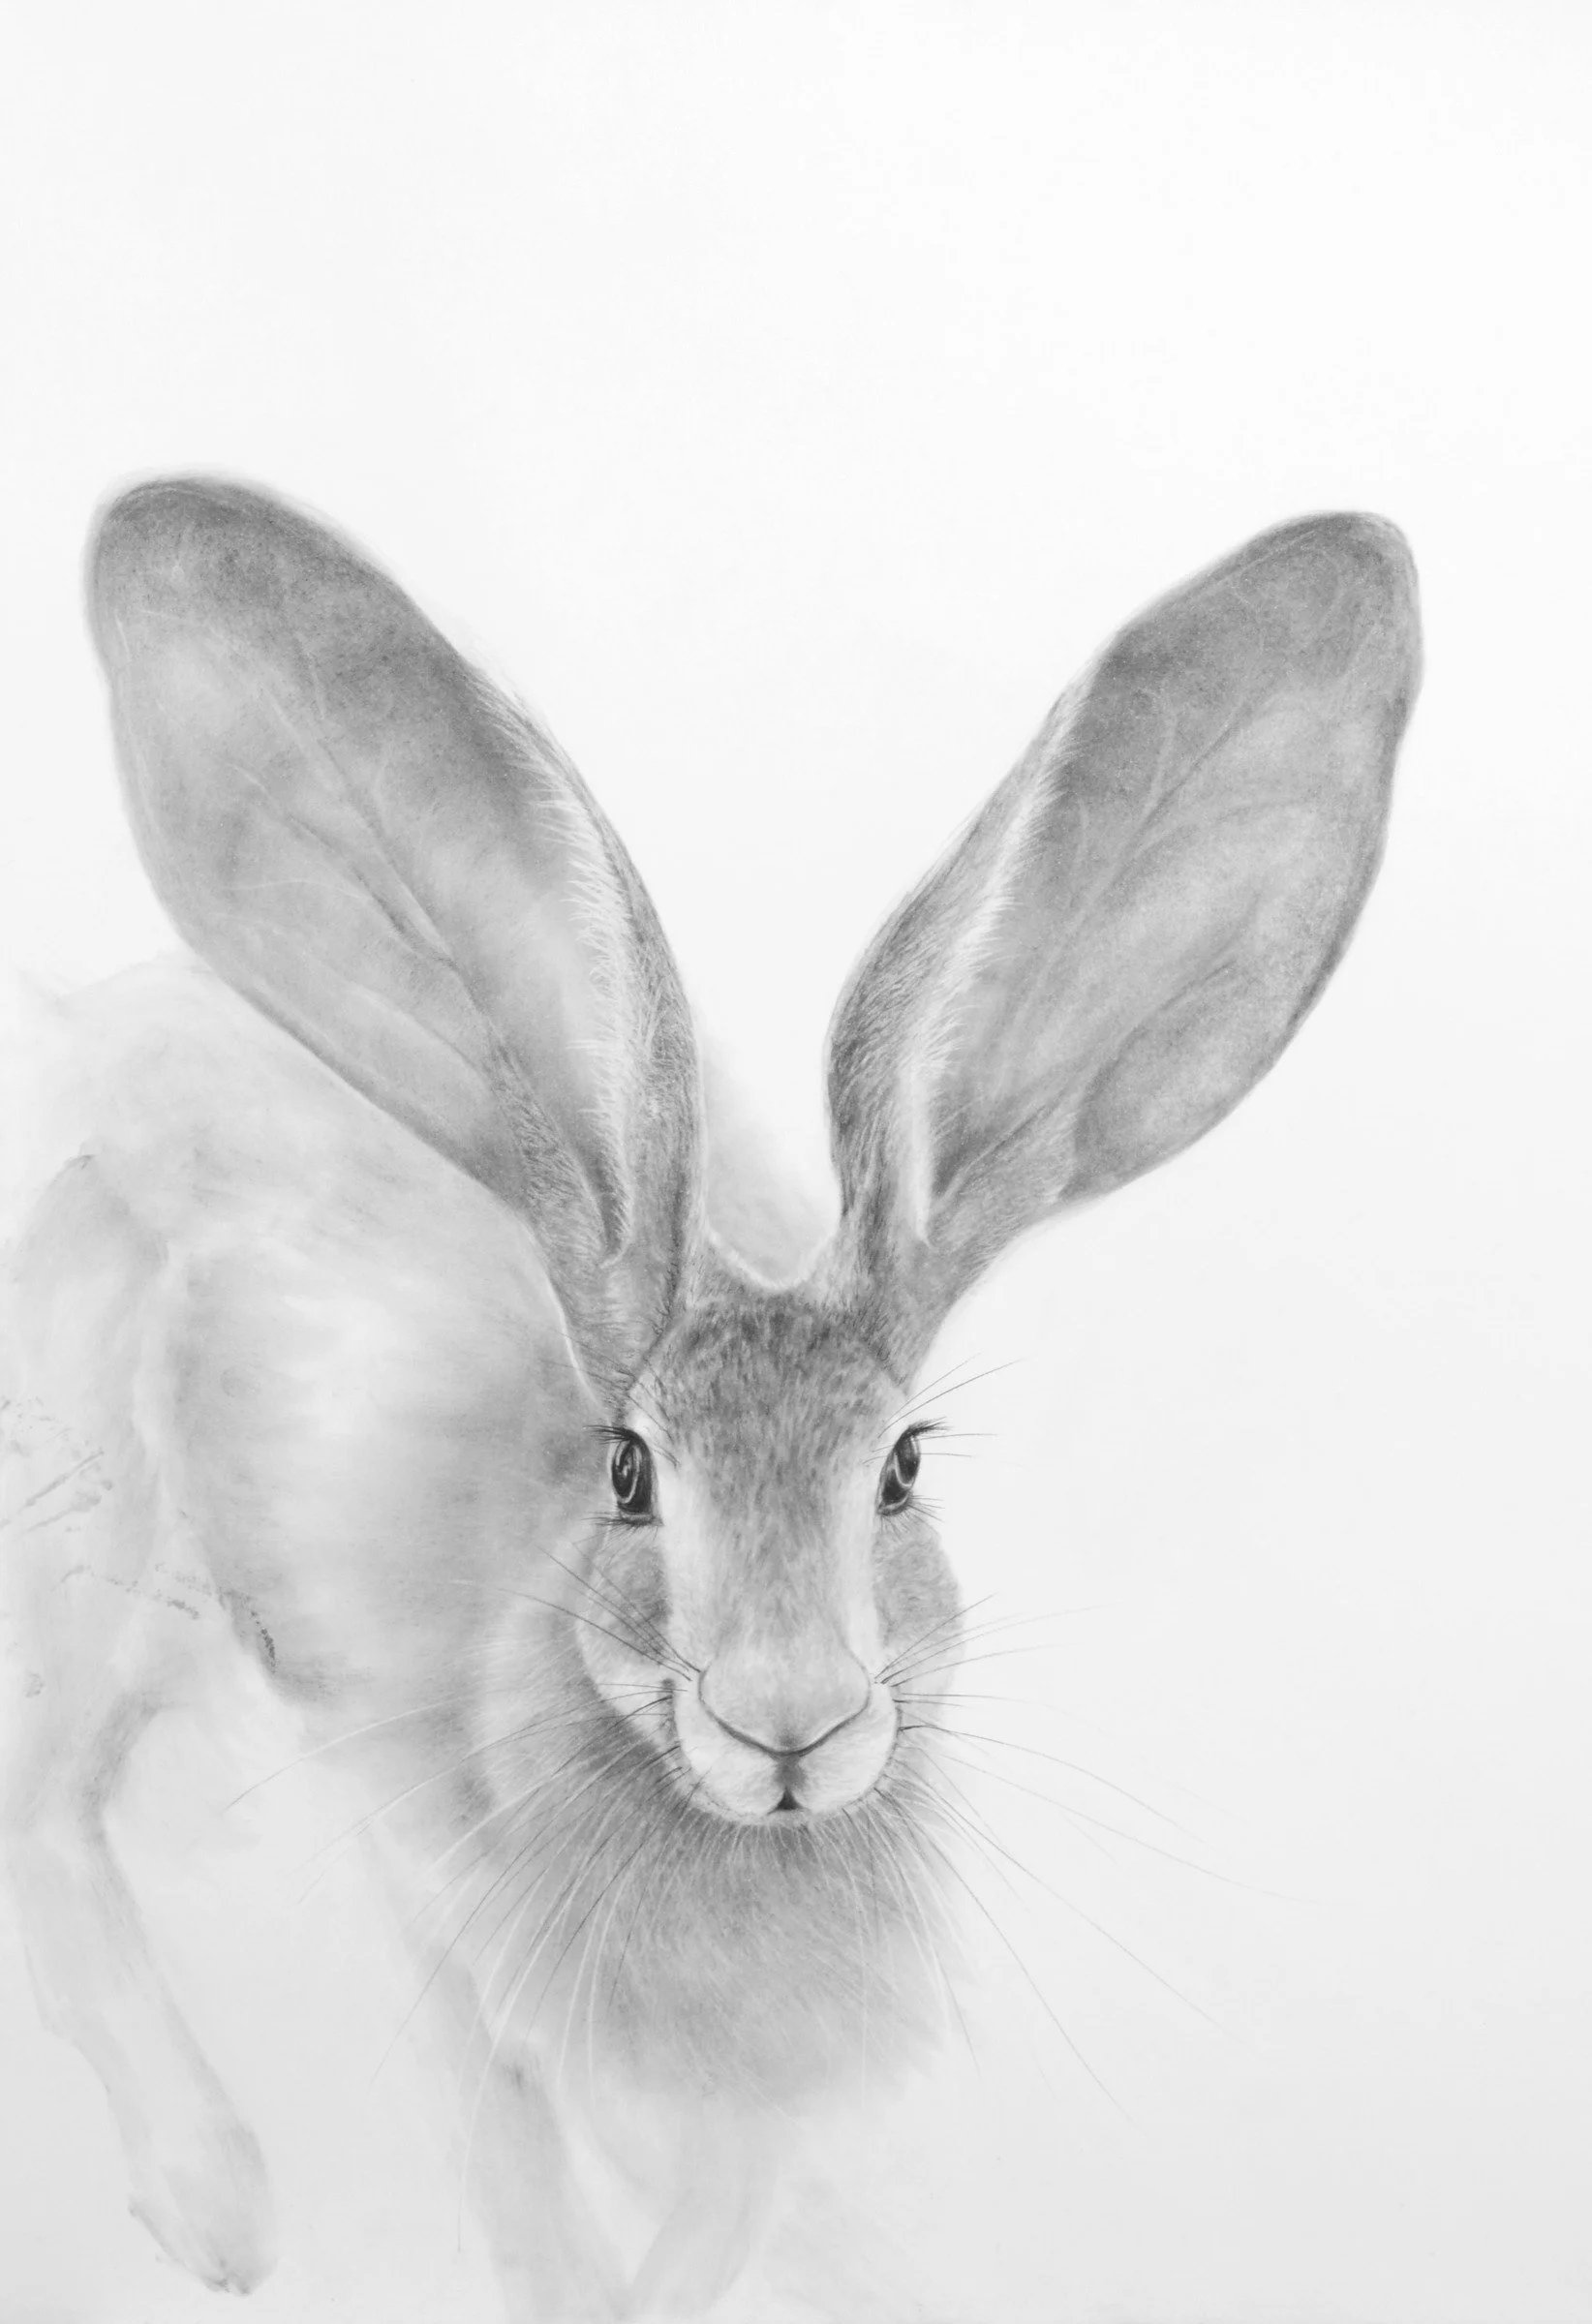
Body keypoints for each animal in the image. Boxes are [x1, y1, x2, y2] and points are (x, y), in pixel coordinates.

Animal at [0, 478, 1420, 2320]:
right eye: (627, 1474)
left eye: (898, 1471)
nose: (787, 1722)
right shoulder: (427, 1883)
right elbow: (514, 2154)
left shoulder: (766, 2111)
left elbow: (720, 2213)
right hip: (92, 1507)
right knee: (46, 1806)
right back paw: (215, 2202)